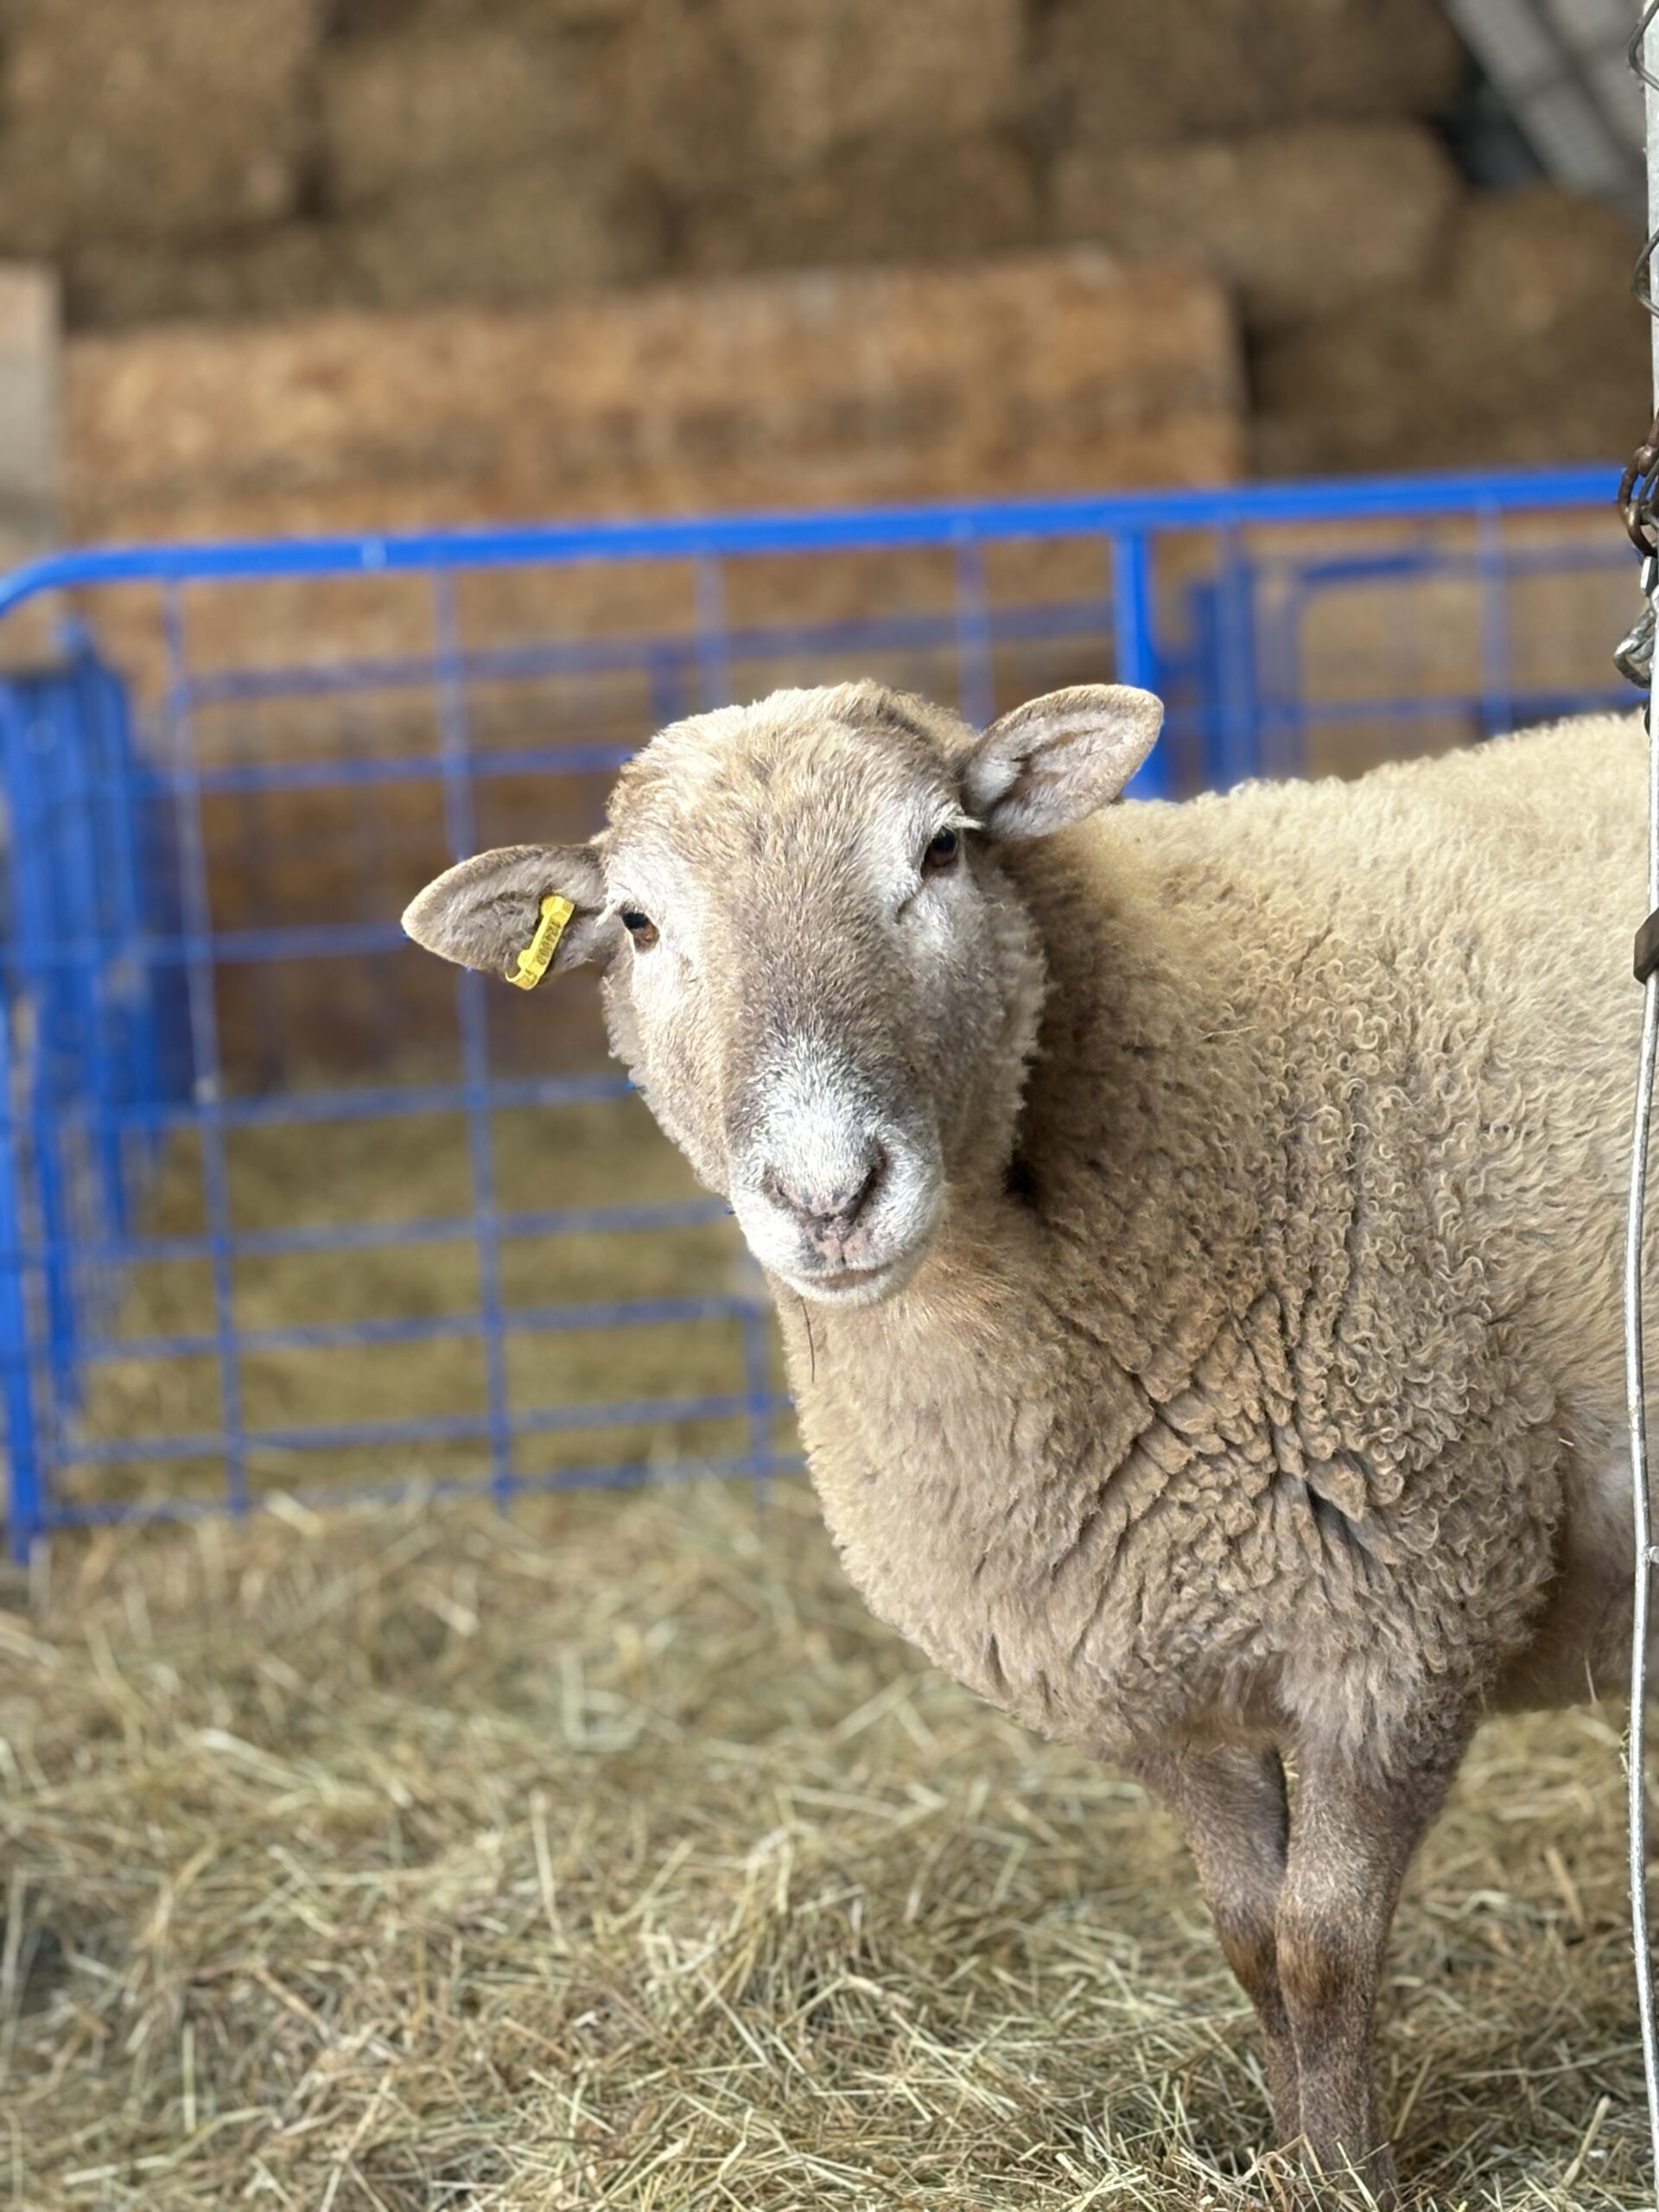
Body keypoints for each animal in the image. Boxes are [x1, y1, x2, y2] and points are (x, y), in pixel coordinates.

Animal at [403, 680, 1646, 2200]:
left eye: (942, 849)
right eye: (637, 923)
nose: (830, 1196)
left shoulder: (1407, 1616)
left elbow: (1323, 1948)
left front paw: (1349, 2178)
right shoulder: (1149, 1664)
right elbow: (1251, 1945)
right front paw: (1293, 2159)